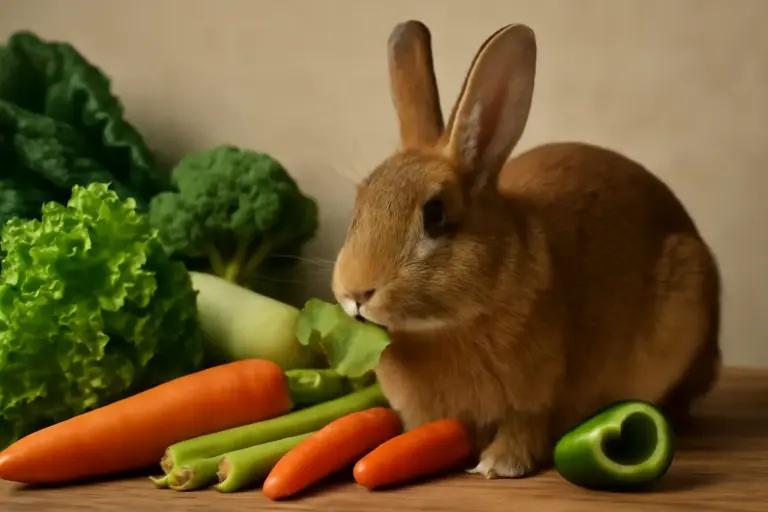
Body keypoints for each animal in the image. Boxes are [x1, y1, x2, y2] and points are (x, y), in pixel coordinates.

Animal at [331, 20, 721, 479]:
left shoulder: (534, 395)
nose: (355, 293)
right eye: (359, 204)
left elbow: (524, 426)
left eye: (436, 214)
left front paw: (498, 465)